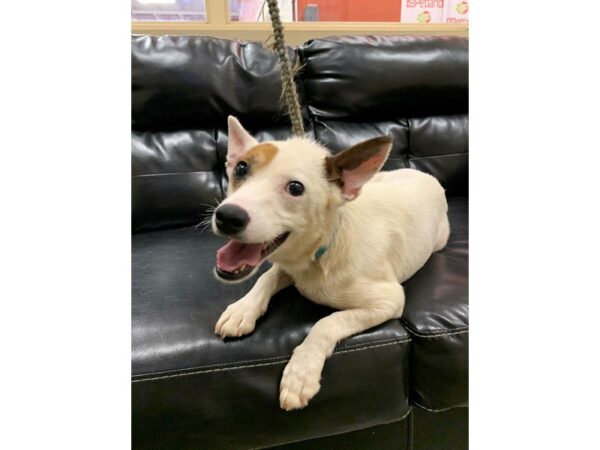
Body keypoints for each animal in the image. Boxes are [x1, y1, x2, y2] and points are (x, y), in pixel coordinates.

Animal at [213, 115, 448, 412]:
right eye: (241, 168)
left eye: (295, 188)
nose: (227, 216)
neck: (318, 254)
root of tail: (425, 174)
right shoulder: (288, 268)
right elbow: (266, 277)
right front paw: (242, 310)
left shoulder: (388, 301)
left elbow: (326, 323)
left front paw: (301, 373)